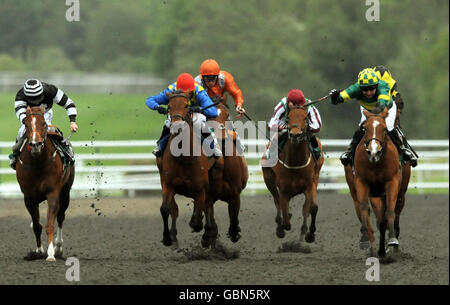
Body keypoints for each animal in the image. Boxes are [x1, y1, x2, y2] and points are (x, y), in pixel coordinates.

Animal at [16, 105, 74, 260]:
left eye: (43, 123)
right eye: (26, 124)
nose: (35, 144)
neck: (38, 163)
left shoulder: (52, 193)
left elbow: (50, 224)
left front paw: (51, 253)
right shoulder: (28, 197)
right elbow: (37, 225)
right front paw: (38, 251)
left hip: (65, 193)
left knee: (60, 217)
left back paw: (58, 248)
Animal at [156, 90, 224, 247]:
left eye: (187, 105)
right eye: (169, 106)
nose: (177, 127)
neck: (183, 157)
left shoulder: (201, 188)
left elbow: (199, 216)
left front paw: (204, 231)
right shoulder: (168, 184)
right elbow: (166, 209)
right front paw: (167, 237)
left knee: (208, 204)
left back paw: (210, 232)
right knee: (175, 209)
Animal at [204, 97, 250, 247]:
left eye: (227, 115)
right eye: (207, 116)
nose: (219, 137)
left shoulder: (235, 196)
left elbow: (234, 218)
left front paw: (235, 232)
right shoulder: (208, 196)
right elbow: (210, 218)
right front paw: (208, 236)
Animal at [262, 103, 326, 243]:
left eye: (305, 118)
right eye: (288, 118)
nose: (295, 135)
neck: (295, 162)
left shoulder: (310, 185)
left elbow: (313, 207)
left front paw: (310, 234)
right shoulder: (283, 189)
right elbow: (285, 216)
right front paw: (282, 227)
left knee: (305, 208)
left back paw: (303, 230)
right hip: (268, 179)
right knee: (277, 201)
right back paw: (280, 226)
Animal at [344, 107, 412, 256]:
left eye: (385, 129)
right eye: (365, 128)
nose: (373, 152)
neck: (376, 163)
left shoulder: (392, 183)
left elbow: (390, 212)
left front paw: (392, 240)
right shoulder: (362, 182)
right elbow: (365, 209)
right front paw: (365, 241)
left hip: (400, 193)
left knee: (393, 213)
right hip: (357, 192)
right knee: (366, 213)